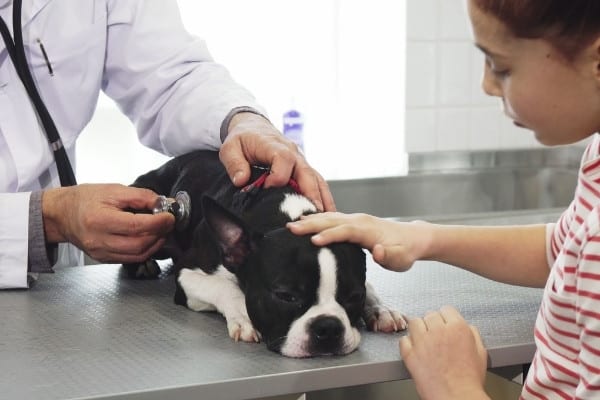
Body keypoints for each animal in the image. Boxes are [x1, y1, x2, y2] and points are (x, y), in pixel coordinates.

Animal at [126, 152, 408, 358]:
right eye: (285, 296)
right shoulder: (188, 274)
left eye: (354, 297)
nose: (328, 327)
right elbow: (224, 287)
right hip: (154, 214)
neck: (288, 215)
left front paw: (381, 309)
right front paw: (244, 316)